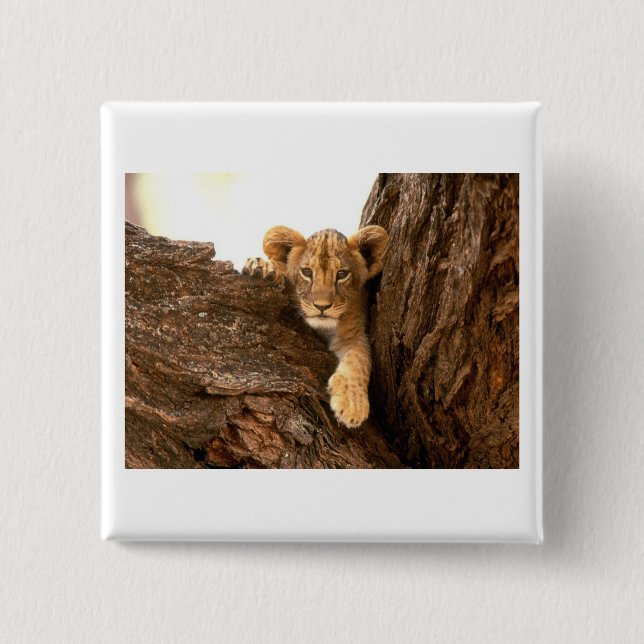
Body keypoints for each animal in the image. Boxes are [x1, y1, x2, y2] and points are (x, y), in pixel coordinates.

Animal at [243, 225, 388, 428]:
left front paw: (352, 404)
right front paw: (262, 267)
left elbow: (359, 358)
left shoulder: (353, 333)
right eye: (307, 272)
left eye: (342, 274)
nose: (322, 306)